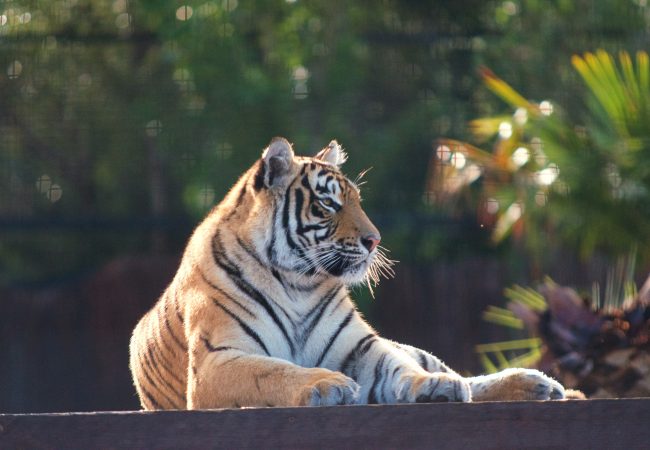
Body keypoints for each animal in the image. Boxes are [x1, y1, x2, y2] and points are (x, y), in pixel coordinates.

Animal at [129, 137, 568, 409]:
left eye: (357, 200)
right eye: (329, 204)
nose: (374, 240)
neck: (296, 283)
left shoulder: (361, 346)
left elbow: (400, 368)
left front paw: (435, 388)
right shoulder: (217, 360)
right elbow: (272, 371)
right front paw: (325, 384)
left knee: (455, 371)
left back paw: (537, 384)